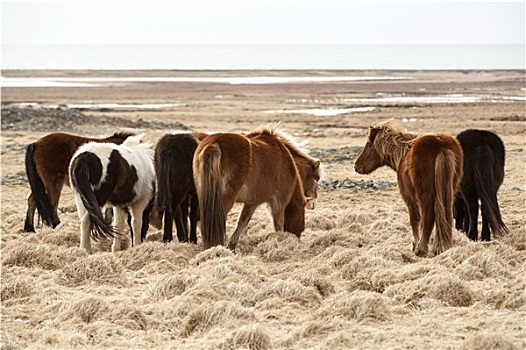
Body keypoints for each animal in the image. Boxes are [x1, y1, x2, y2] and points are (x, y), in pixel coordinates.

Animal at [194, 124, 322, 250]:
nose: (314, 203)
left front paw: (232, 245)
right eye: (316, 179)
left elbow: (242, 222)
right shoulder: (279, 202)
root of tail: (214, 144)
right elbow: (278, 225)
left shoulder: (252, 202)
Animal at [354, 121, 466, 258]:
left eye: (369, 145)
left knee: (429, 217)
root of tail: (442, 147)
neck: (403, 153)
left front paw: (414, 245)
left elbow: (414, 219)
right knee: (444, 215)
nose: (356, 166)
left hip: (425, 195)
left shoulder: (408, 197)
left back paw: (421, 249)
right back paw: (439, 248)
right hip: (448, 192)